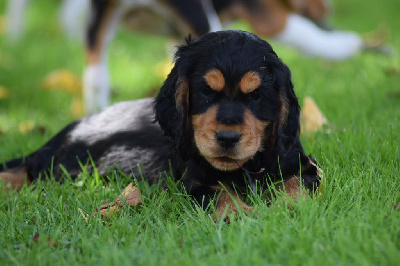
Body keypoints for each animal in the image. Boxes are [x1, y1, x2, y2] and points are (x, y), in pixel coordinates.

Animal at [0, 29, 318, 216]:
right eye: (206, 91)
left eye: (255, 96)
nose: (227, 138)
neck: (248, 167)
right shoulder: (196, 180)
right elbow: (221, 194)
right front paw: (240, 214)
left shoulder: (302, 163)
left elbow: (296, 183)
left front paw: (289, 208)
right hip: (70, 161)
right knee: (30, 169)